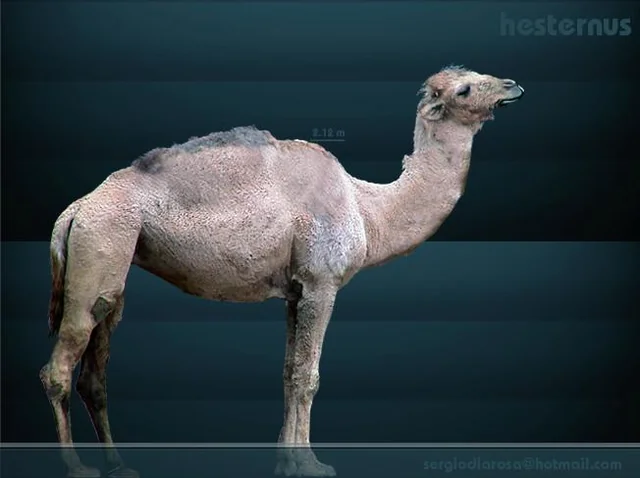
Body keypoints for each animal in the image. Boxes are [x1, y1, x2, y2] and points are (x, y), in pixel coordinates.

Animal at [39, 66, 524, 478]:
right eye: (464, 89)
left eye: (478, 75)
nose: (512, 85)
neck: (366, 209)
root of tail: (75, 210)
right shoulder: (322, 283)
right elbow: (308, 377)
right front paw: (311, 464)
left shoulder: (296, 290)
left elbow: (290, 372)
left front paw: (287, 461)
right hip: (101, 243)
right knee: (61, 365)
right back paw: (76, 468)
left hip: (113, 262)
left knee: (95, 370)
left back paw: (119, 465)